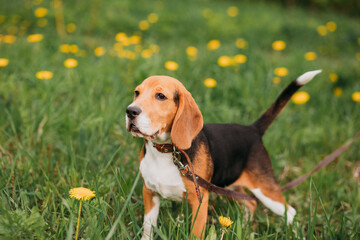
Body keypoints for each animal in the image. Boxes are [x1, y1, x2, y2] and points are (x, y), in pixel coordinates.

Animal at [126, 69, 320, 238]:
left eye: (160, 96)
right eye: (137, 93)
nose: (130, 111)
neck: (165, 151)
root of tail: (253, 129)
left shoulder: (199, 201)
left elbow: (195, 234)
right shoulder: (149, 193)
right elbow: (148, 228)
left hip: (265, 190)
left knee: (290, 212)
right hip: (230, 185)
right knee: (251, 202)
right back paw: (245, 228)